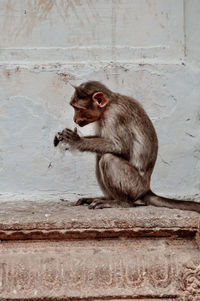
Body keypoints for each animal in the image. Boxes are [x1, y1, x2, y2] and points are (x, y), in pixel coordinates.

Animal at [54, 79, 200, 211]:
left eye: (77, 108)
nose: (74, 119)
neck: (109, 104)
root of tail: (146, 189)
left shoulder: (115, 115)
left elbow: (121, 148)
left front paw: (76, 141)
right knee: (100, 155)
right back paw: (108, 198)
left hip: (134, 185)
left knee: (107, 158)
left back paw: (122, 203)